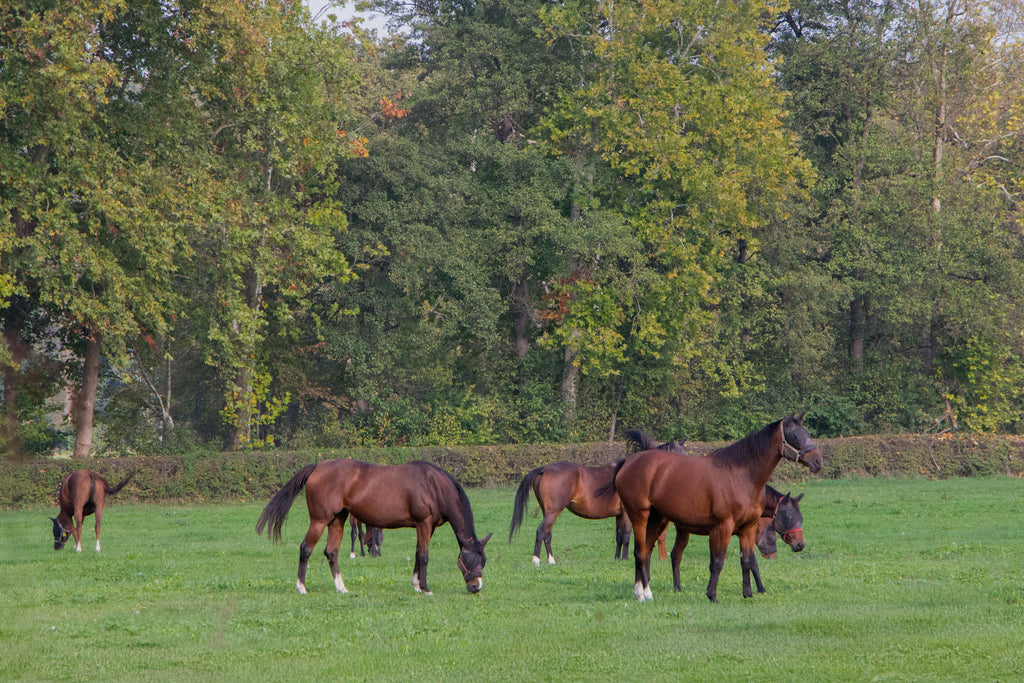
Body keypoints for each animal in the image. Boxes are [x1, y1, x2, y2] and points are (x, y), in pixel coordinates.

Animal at [256, 459, 491, 595]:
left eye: (484, 560)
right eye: (468, 559)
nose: (476, 587)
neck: (433, 485)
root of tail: (317, 467)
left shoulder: (426, 527)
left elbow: (417, 554)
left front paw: (416, 584)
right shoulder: (423, 523)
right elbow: (424, 556)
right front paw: (425, 588)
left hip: (337, 520)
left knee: (331, 552)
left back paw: (341, 588)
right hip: (319, 521)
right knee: (305, 549)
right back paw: (302, 587)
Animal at [508, 432, 685, 566]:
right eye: (677, 454)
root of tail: (544, 469)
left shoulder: (619, 516)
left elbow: (619, 537)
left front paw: (617, 558)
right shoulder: (628, 515)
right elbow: (627, 537)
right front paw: (626, 559)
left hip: (549, 512)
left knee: (547, 534)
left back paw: (551, 560)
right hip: (553, 512)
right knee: (541, 532)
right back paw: (537, 560)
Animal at [670, 485, 805, 591]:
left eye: (801, 519)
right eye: (789, 517)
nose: (800, 544)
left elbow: (750, 562)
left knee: (675, 555)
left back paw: (677, 588)